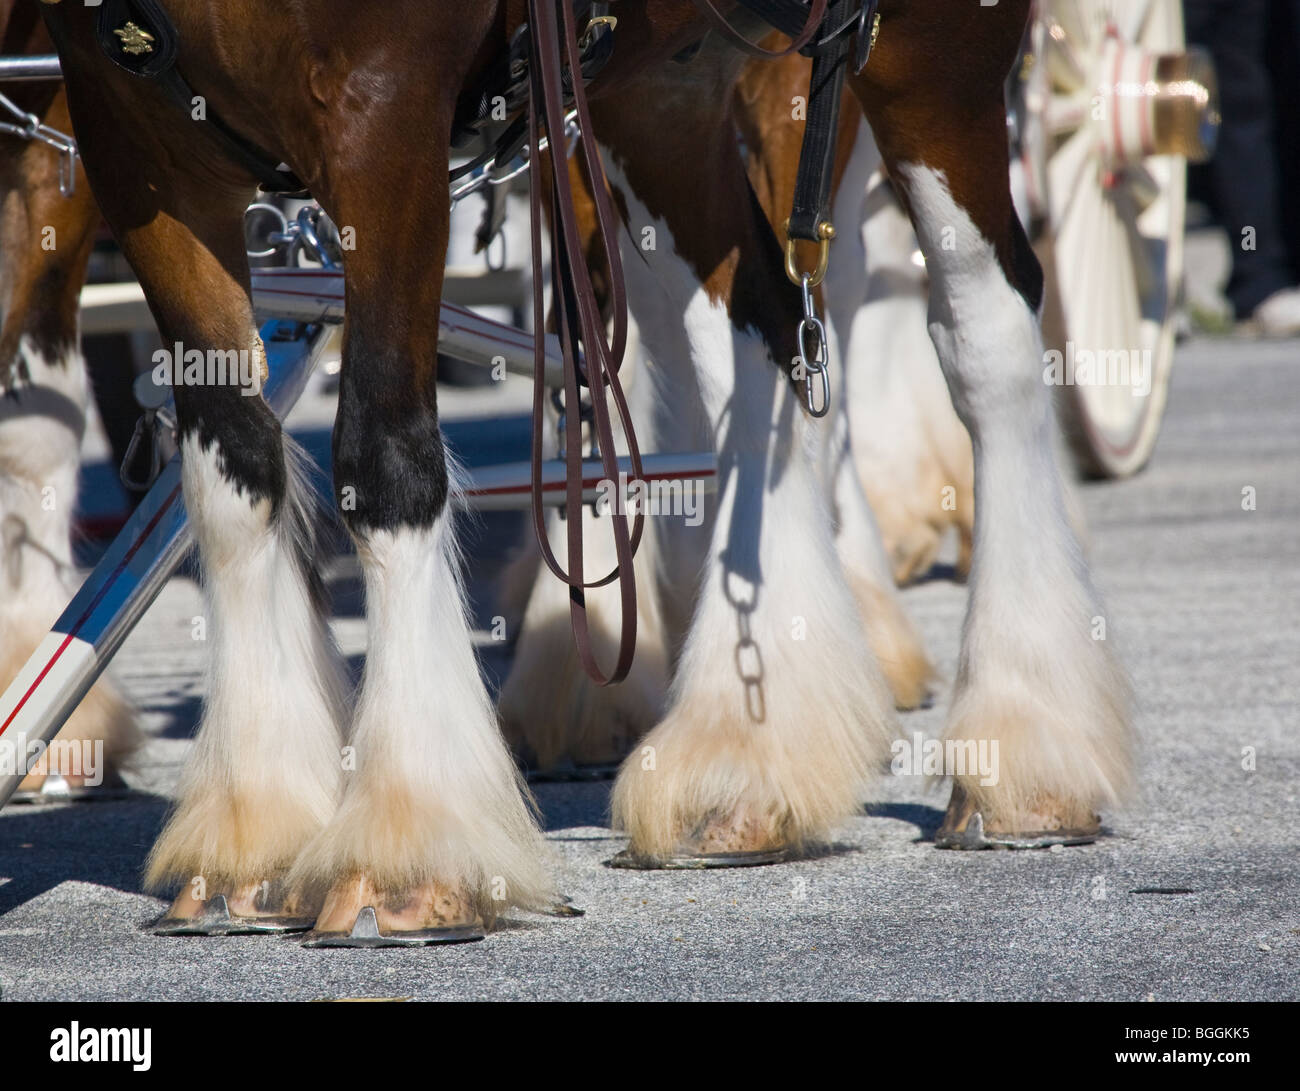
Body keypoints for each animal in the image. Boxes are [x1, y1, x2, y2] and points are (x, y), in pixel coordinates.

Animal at [38, 0, 1134, 943]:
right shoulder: (130, 130)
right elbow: (232, 471)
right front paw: (253, 827)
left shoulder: (383, 109)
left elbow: (384, 460)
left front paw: (408, 838)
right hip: (664, 89)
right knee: (763, 339)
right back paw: (746, 754)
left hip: (926, 58)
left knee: (985, 335)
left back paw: (1027, 746)